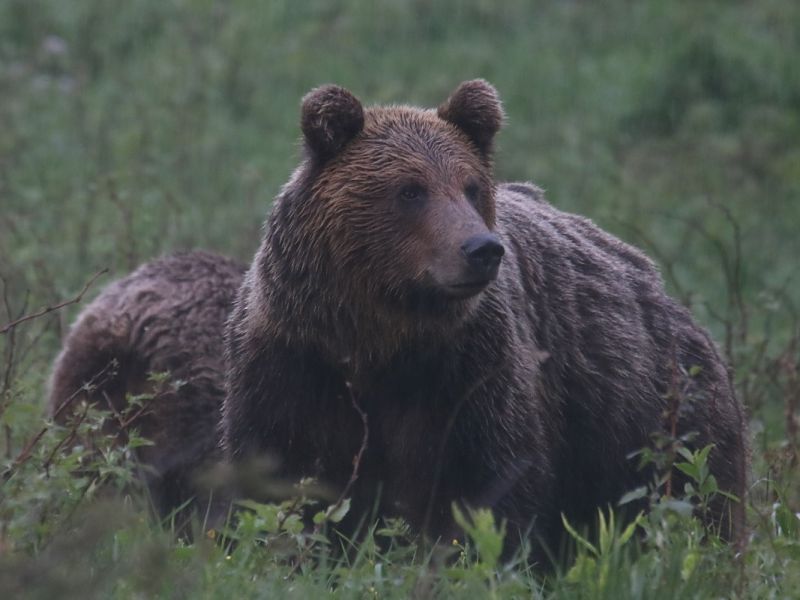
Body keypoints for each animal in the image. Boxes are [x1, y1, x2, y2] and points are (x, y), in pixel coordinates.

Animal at [222, 78, 748, 556]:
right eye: (410, 190)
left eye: (472, 187)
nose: (482, 249)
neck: (378, 337)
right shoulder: (292, 363)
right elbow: (280, 483)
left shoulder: (467, 375)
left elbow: (486, 492)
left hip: (659, 420)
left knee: (699, 502)